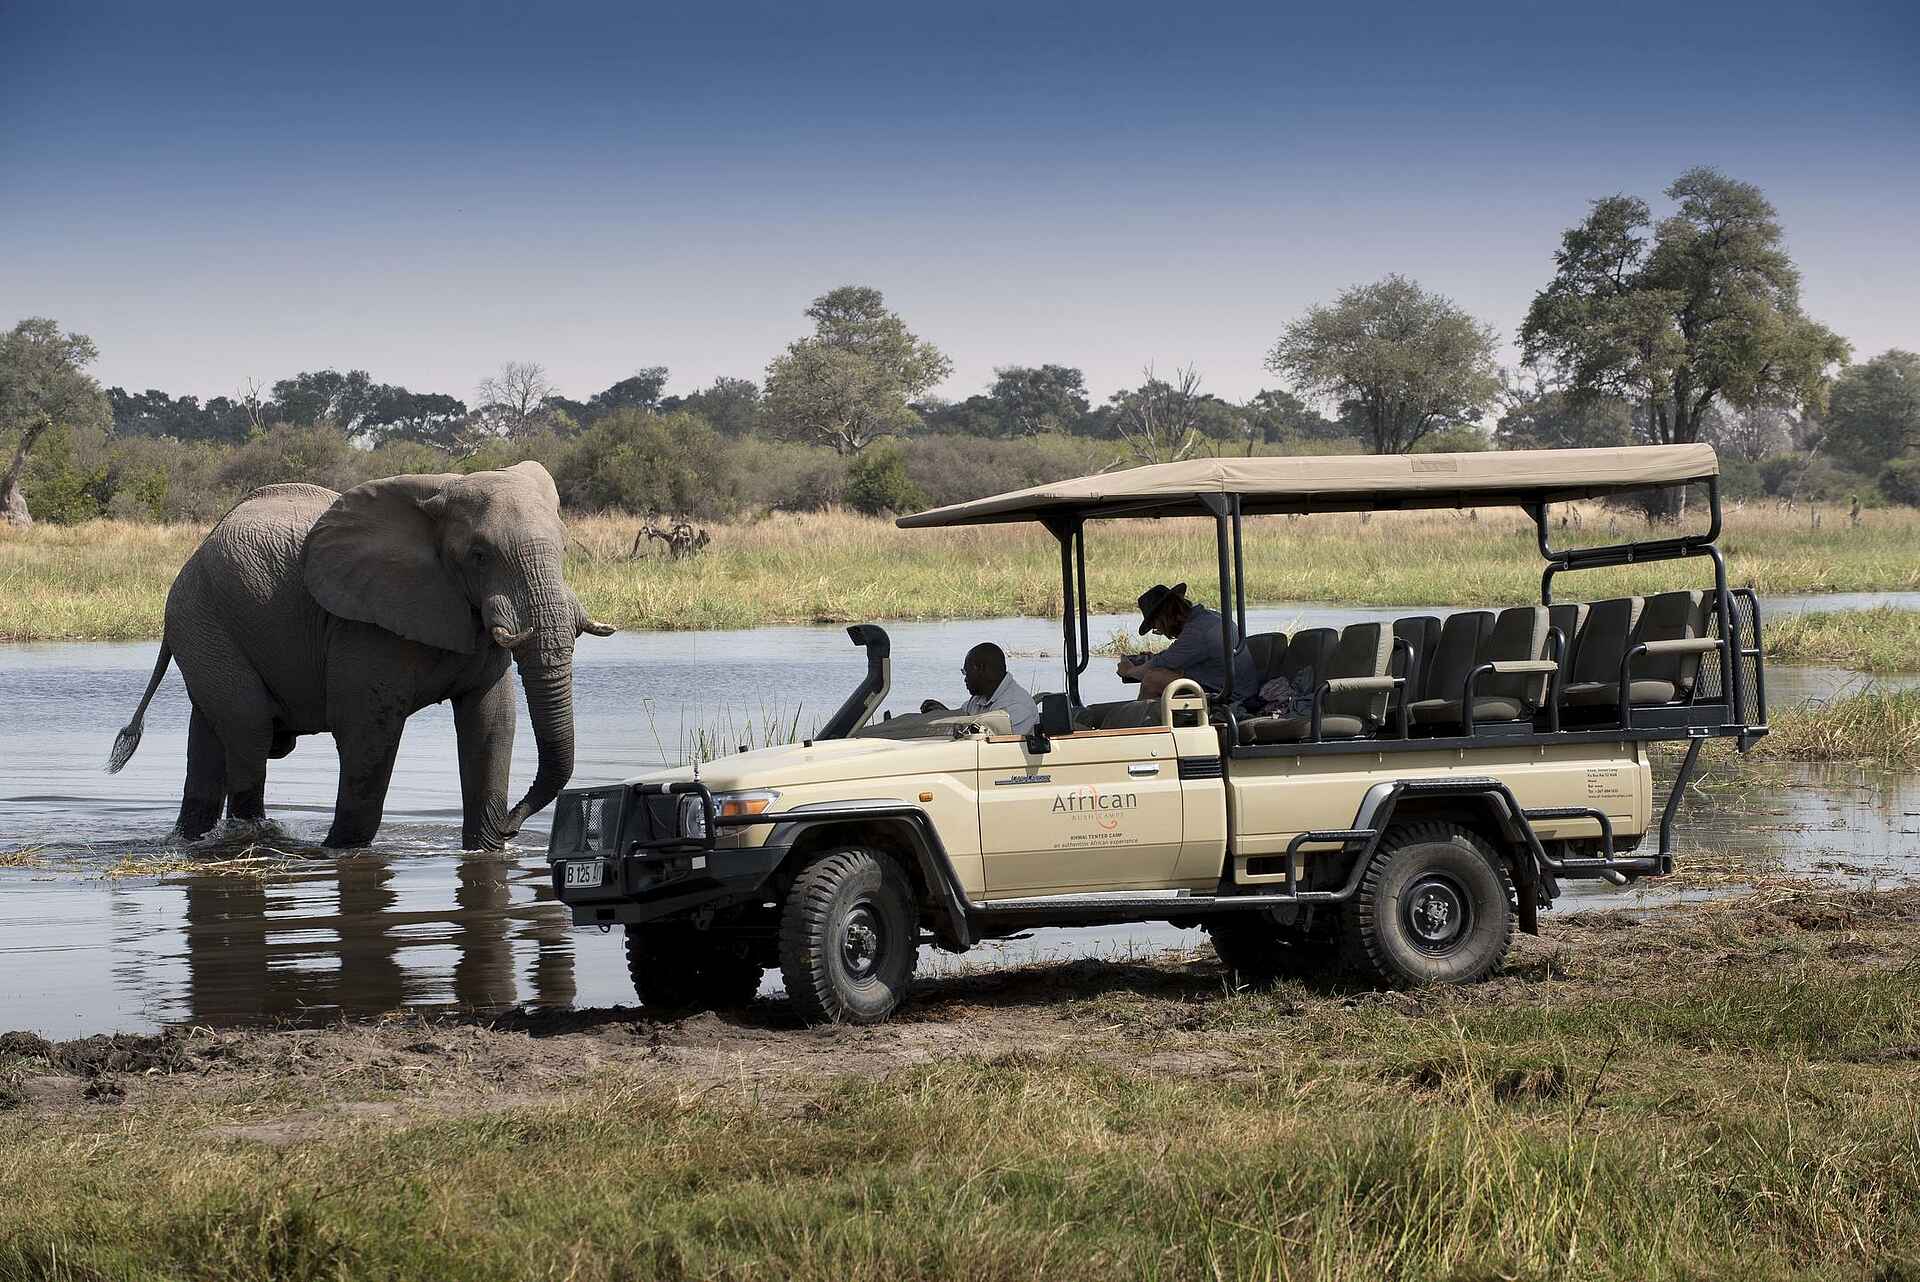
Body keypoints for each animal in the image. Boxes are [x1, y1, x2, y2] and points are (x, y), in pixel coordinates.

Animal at [107, 461, 615, 850]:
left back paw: (189, 841)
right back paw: (251, 837)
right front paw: (340, 850)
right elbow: (368, 731)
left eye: (565, 548)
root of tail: (194, 554)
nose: (513, 825)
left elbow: (492, 723)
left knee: (212, 737)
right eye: (479, 555)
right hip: (203, 619)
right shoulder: (363, 623)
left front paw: (487, 850)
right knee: (249, 732)